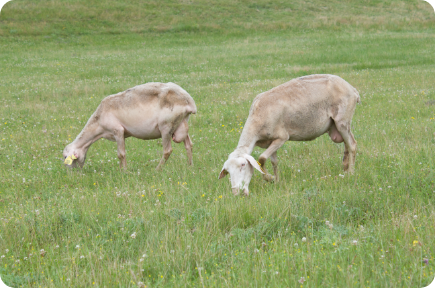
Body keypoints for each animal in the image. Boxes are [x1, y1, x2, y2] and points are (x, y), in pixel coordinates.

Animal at [62, 82, 197, 170]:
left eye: (65, 157)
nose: (72, 174)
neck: (98, 124)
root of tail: (188, 101)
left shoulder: (117, 130)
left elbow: (121, 154)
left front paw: (124, 171)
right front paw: (121, 169)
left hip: (166, 126)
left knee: (167, 150)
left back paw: (157, 169)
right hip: (181, 123)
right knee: (188, 145)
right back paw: (190, 166)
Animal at [221, 74, 362, 196]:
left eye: (243, 166)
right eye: (228, 171)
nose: (235, 192)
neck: (256, 120)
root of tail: (352, 89)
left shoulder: (282, 137)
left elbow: (261, 159)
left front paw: (270, 178)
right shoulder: (271, 141)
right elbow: (274, 161)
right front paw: (276, 181)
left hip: (342, 120)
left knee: (352, 145)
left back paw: (351, 172)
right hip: (337, 125)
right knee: (346, 143)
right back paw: (345, 167)